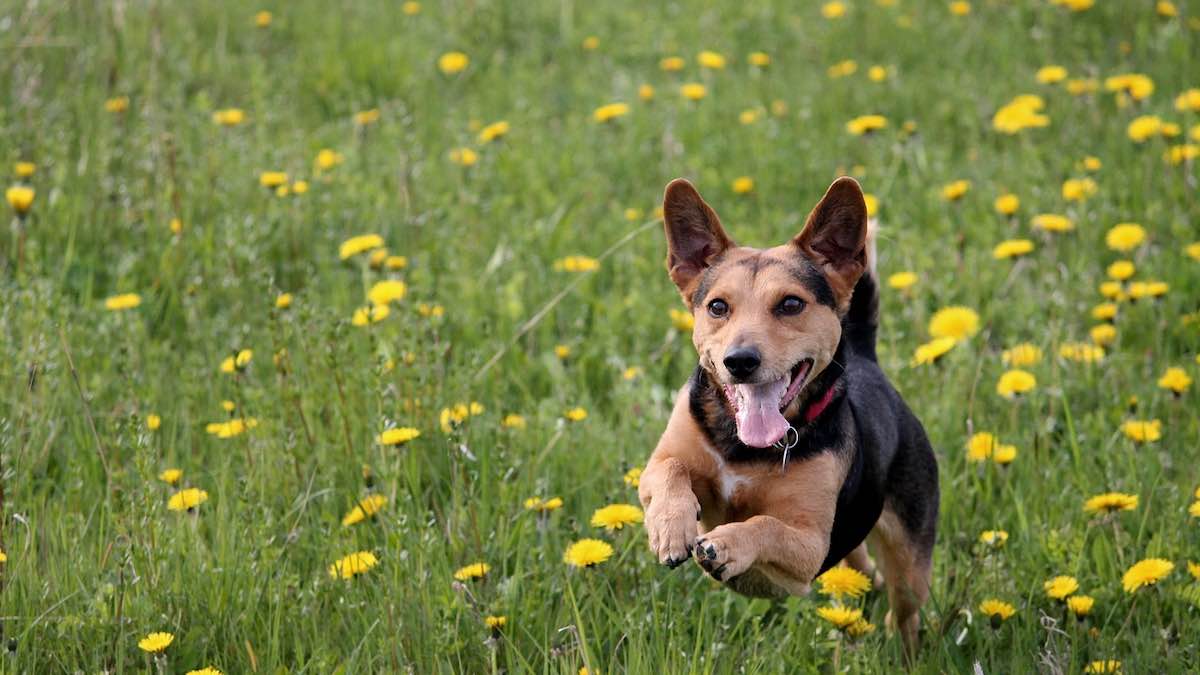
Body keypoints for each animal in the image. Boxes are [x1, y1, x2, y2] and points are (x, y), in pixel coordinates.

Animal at [638, 176, 936, 648]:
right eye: (718, 307)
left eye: (791, 304)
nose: (740, 361)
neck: (744, 447)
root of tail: (867, 360)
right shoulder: (660, 462)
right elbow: (670, 471)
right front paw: (671, 527)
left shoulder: (810, 546)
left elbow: (766, 525)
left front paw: (727, 545)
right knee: (863, 566)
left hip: (910, 560)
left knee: (905, 610)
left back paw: (903, 648)